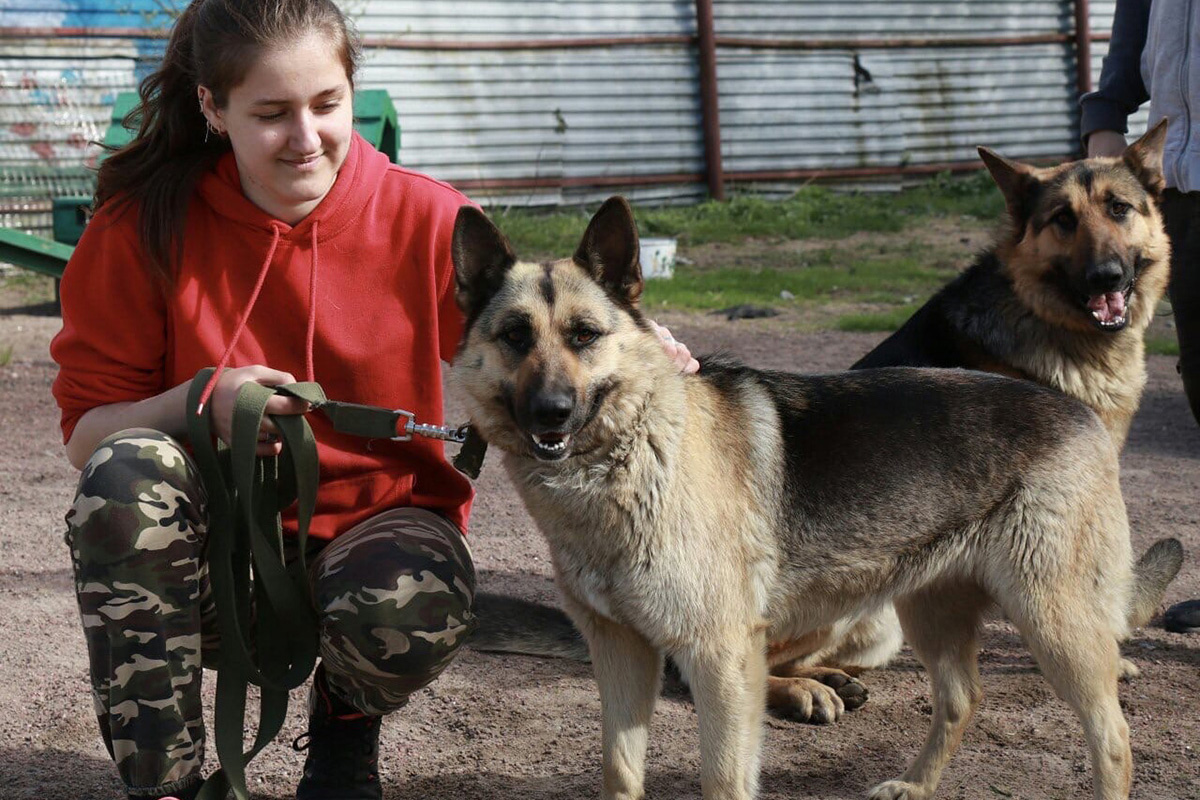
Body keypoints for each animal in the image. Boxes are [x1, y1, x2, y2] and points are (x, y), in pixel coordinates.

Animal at [451, 196, 1152, 796]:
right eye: (515, 336)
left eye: (584, 335)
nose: (550, 411)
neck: (632, 453)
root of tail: (1076, 411)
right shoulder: (622, 652)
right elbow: (621, 773)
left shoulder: (721, 659)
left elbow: (724, 780)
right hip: (928, 611)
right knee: (960, 701)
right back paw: (911, 782)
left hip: (1052, 625)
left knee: (1114, 734)